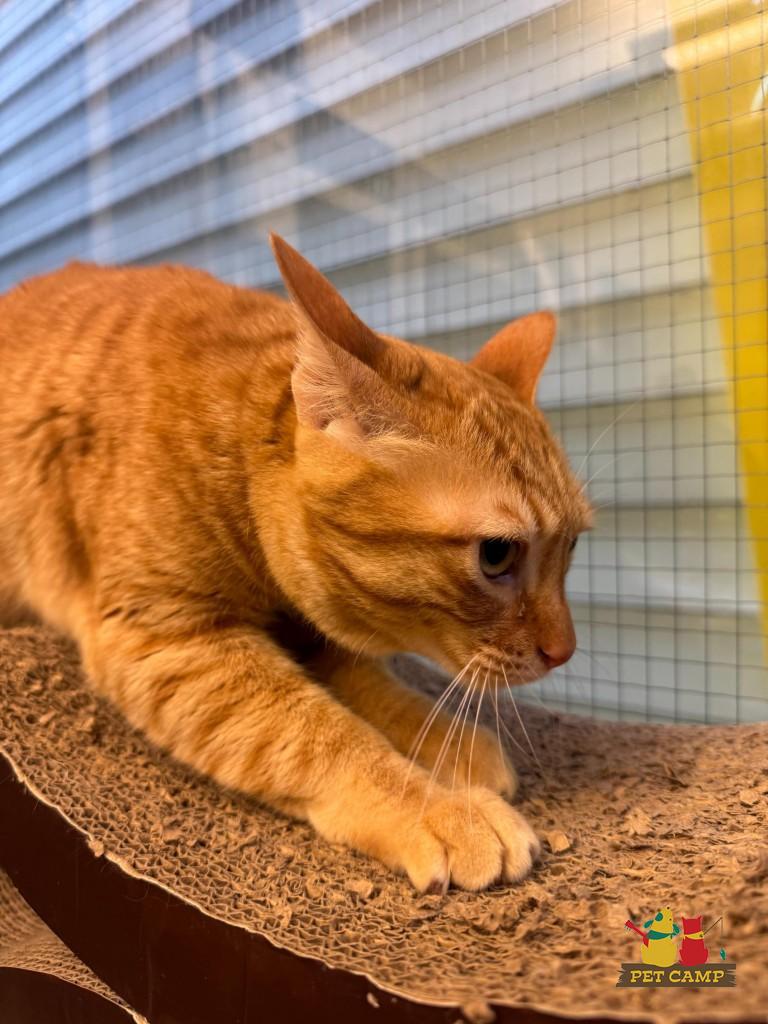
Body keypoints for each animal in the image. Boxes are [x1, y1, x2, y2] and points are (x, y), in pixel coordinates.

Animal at [0, 234, 591, 892]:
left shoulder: (318, 637)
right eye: (496, 554)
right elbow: (319, 734)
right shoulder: (168, 639)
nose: (564, 651)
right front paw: (441, 808)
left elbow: (384, 697)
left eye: (571, 546)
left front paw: (453, 747)